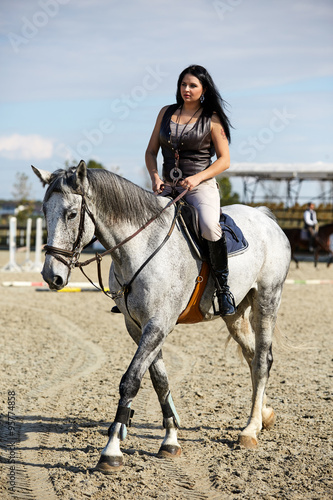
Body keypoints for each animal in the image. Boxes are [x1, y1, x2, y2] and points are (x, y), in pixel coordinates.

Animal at [32, 162, 290, 474]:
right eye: (45, 211)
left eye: (71, 214)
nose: (52, 276)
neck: (141, 247)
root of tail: (264, 217)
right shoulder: (137, 326)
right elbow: (160, 381)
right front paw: (170, 441)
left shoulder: (158, 325)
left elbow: (131, 380)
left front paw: (111, 451)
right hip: (236, 315)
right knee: (253, 358)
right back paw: (265, 415)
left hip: (267, 299)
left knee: (262, 360)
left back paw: (250, 430)